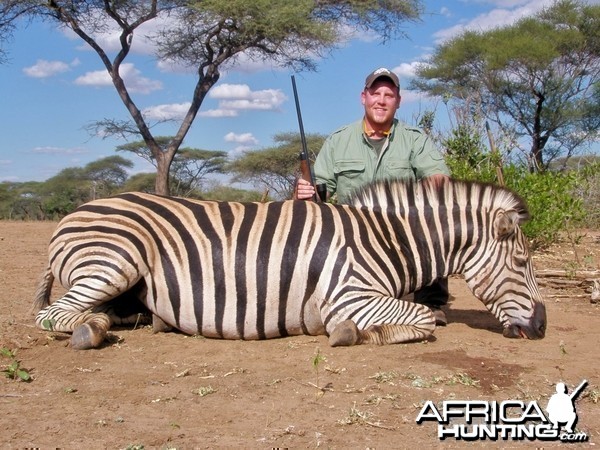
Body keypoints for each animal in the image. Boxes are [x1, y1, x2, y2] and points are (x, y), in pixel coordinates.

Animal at [34, 178, 548, 350]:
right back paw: (92, 331)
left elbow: (423, 316)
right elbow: (422, 319)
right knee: (53, 316)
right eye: (523, 260)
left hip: (127, 283)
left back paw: (142, 322)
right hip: (115, 259)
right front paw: (349, 333)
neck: (385, 238)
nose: (542, 327)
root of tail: (75, 212)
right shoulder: (350, 294)